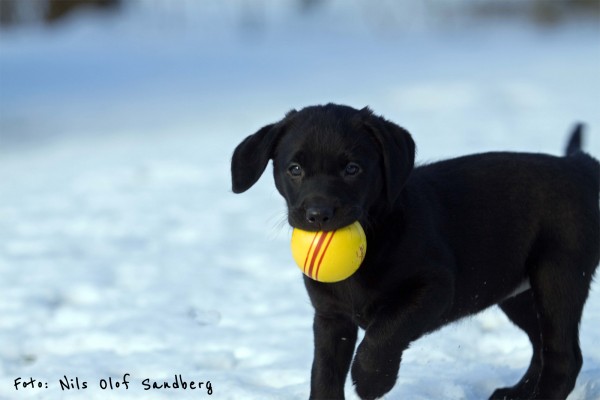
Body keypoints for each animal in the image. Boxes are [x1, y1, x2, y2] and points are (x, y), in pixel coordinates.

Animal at [231, 104, 600, 400]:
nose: (318, 214)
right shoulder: (330, 317)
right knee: (542, 346)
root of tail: (579, 167)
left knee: (564, 358)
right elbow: (324, 374)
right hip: (518, 292)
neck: (376, 234)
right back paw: (516, 393)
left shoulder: (435, 287)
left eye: (352, 169)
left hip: (558, 274)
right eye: (294, 169)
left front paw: (372, 380)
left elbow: (383, 334)